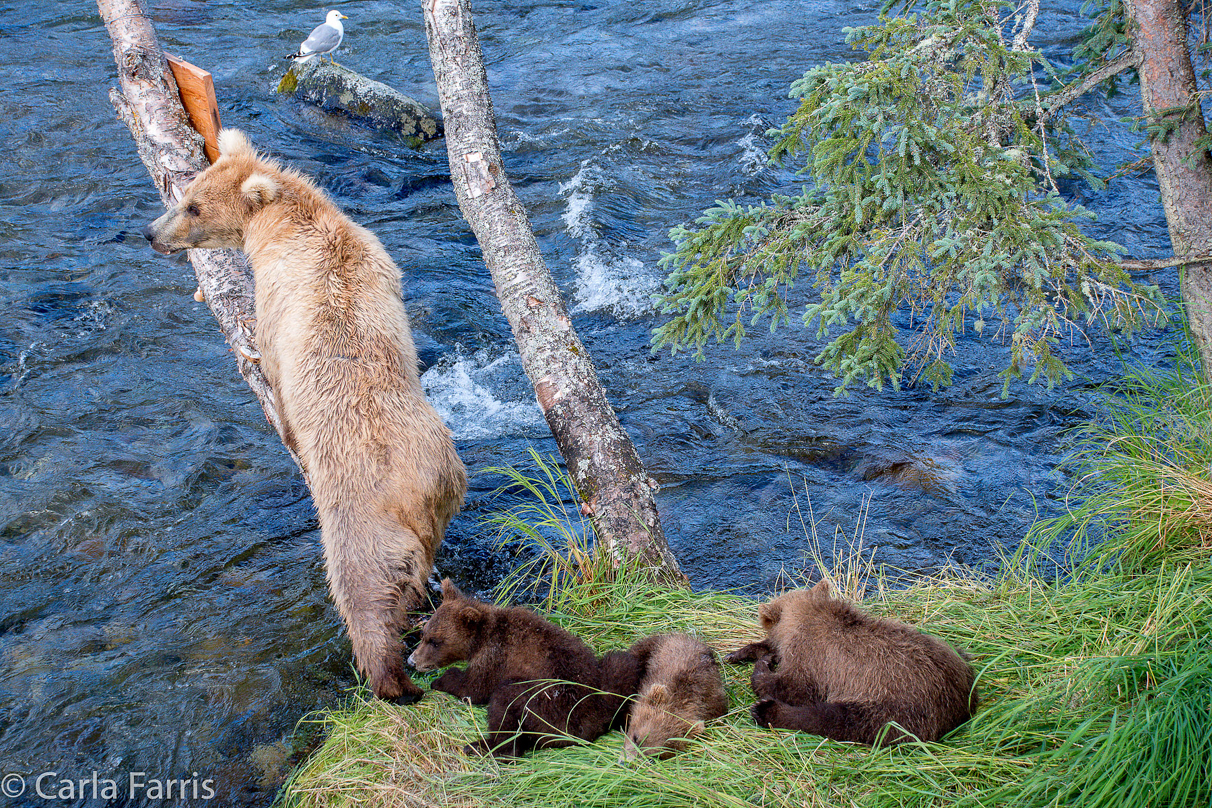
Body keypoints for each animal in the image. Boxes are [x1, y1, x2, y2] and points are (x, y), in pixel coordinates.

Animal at [140, 127, 462, 702]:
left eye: (193, 205)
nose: (149, 232)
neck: (290, 223)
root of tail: (422, 488)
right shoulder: (378, 257)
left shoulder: (279, 297)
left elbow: (270, 361)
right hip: (445, 471)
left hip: (357, 506)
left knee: (364, 586)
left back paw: (388, 675)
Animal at [727, 581, 974, 746]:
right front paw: (742, 653)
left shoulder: (815, 660)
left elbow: (794, 687)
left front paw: (763, 668)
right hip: (947, 652)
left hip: (897, 701)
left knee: (841, 719)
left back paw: (767, 711)